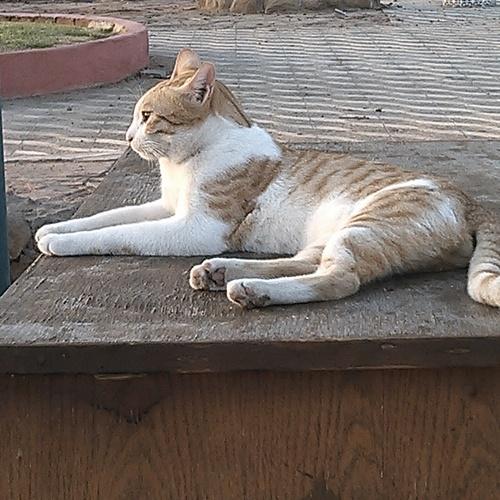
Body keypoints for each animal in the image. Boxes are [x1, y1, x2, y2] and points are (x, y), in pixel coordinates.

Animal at [36, 48, 500, 309]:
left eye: (148, 117)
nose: (128, 137)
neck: (187, 162)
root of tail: (471, 202)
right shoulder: (168, 207)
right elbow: (108, 216)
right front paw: (56, 228)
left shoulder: (196, 226)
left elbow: (120, 235)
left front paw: (63, 243)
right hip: (335, 232)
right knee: (307, 261)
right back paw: (222, 273)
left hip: (365, 226)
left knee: (338, 279)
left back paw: (251, 290)